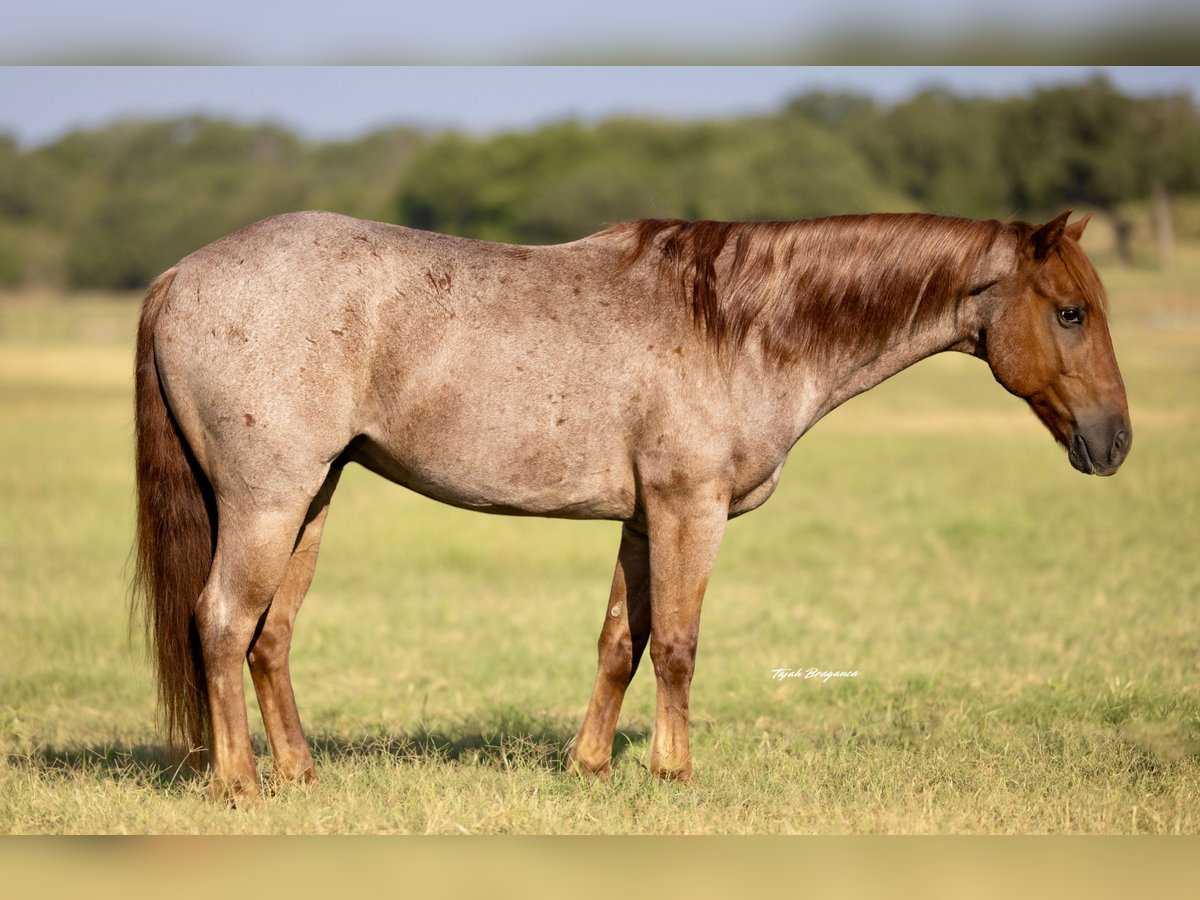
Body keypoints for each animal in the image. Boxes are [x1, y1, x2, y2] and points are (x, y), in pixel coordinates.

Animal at [131, 209, 1131, 801]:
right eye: (1071, 312)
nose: (1116, 441)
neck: (737, 323)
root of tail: (180, 274)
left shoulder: (644, 520)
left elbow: (622, 640)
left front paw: (590, 765)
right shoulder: (691, 510)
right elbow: (679, 645)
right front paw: (672, 771)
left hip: (312, 499)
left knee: (271, 635)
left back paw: (299, 774)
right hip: (268, 502)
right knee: (221, 621)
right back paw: (239, 784)